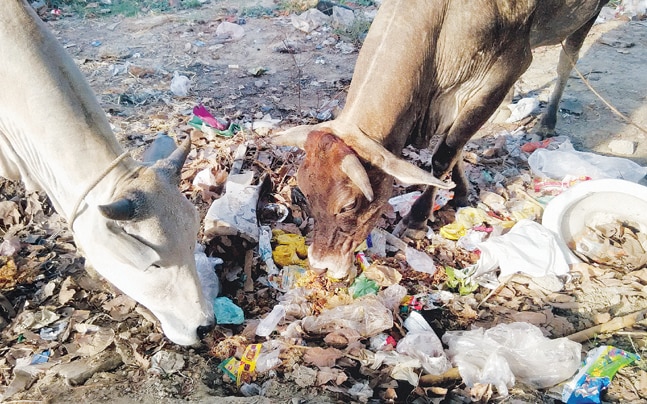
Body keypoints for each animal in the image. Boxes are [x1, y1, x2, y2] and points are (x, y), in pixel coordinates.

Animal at [274, 0, 612, 278]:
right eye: (305, 192)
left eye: (348, 205)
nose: (320, 264)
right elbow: (456, 148)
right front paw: (461, 193)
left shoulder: (503, 73)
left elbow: (444, 154)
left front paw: (417, 219)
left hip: (588, 15)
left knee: (567, 60)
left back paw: (547, 121)